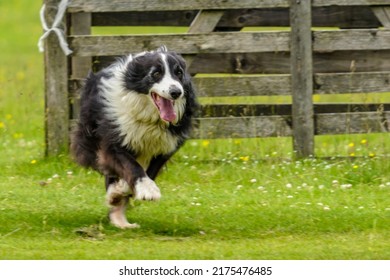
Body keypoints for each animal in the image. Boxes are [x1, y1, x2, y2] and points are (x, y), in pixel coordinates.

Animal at [70, 46, 197, 229]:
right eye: (156, 73)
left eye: (179, 73)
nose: (176, 92)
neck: (150, 119)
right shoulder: (114, 138)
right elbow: (131, 166)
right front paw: (147, 191)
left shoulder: (165, 147)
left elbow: (150, 171)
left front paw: (130, 189)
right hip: (89, 134)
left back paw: (121, 219)